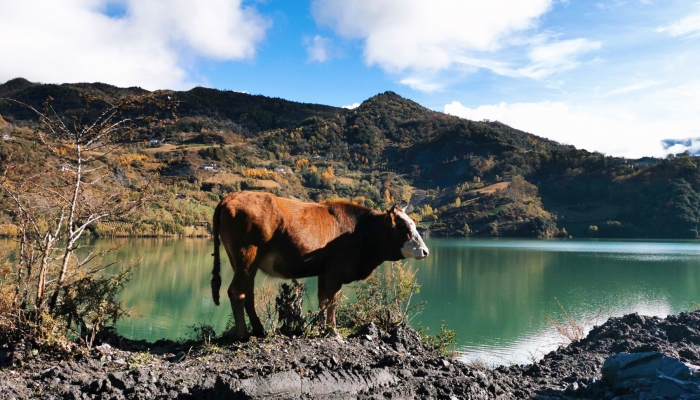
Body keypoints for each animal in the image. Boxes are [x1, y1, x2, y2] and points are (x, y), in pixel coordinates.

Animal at [209, 192, 426, 340]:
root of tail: (232, 196)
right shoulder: (336, 271)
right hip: (247, 258)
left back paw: (259, 330)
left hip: (244, 263)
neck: (360, 231)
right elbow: (333, 300)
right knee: (237, 292)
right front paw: (332, 331)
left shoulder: (324, 272)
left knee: (248, 293)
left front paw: (320, 327)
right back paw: (243, 334)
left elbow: (323, 299)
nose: (425, 251)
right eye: (404, 228)